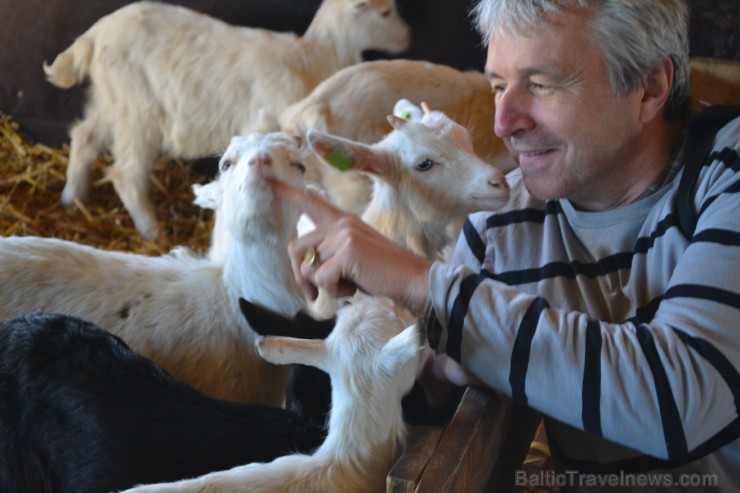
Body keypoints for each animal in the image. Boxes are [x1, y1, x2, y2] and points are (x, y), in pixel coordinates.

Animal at [43, 0, 410, 238]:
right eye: (384, 12)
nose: (408, 38)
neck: (315, 57)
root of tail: (95, 34)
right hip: (139, 109)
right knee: (125, 171)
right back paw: (151, 230)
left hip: (110, 99)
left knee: (84, 138)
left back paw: (71, 199)